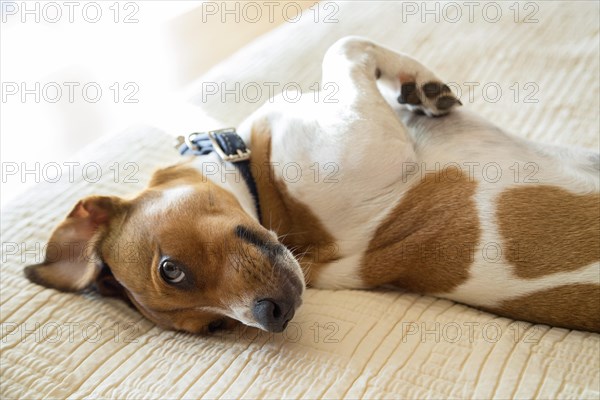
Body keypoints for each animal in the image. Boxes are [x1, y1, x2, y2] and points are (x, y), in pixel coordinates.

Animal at [25, 37, 600, 332]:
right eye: (217, 328)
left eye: (172, 269)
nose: (271, 318)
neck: (261, 189)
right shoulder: (374, 139)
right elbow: (343, 49)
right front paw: (416, 78)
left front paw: (417, 84)